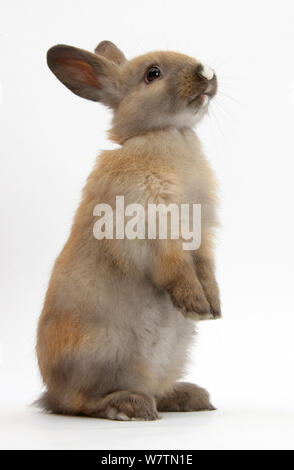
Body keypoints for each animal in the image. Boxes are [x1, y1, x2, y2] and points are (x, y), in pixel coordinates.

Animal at [36, 41, 220, 422]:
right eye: (153, 74)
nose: (207, 73)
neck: (166, 134)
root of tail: (50, 392)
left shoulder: (203, 232)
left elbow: (205, 267)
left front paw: (213, 306)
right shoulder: (153, 226)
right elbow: (176, 267)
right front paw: (195, 305)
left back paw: (189, 396)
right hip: (99, 354)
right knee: (79, 402)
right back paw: (129, 405)